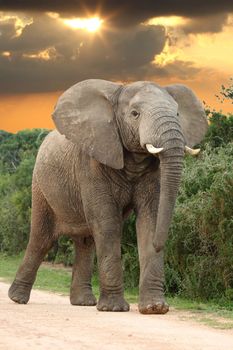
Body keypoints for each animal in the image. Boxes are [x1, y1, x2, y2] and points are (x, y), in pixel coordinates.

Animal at [8, 79, 208, 314]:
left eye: (177, 113)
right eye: (134, 114)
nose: (159, 246)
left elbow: (149, 219)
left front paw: (155, 308)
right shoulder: (92, 162)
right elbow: (108, 224)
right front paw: (114, 308)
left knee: (85, 241)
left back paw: (83, 302)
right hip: (40, 187)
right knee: (42, 239)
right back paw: (17, 298)